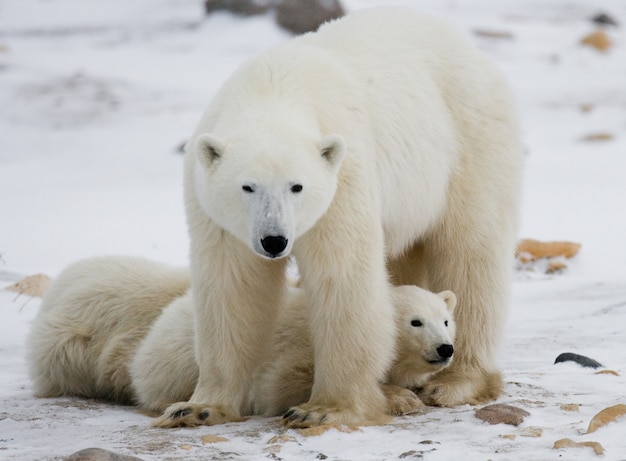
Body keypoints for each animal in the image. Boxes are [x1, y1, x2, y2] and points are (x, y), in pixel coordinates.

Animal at [26, 255, 456, 424]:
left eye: (447, 320)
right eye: (416, 322)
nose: (445, 348)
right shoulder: (297, 349)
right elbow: (281, 383)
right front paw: (399, 397)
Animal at [176, 7, 520, 426]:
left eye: (297, 186)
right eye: (248, 187)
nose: (275, 240)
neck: (272, 89)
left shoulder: (344, 179)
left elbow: (342, 280)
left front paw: (322, 409)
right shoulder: (216, 214)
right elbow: (233, 287)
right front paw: (199, 407)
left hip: (468, 141)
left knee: (470, 253)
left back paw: (456, 381)